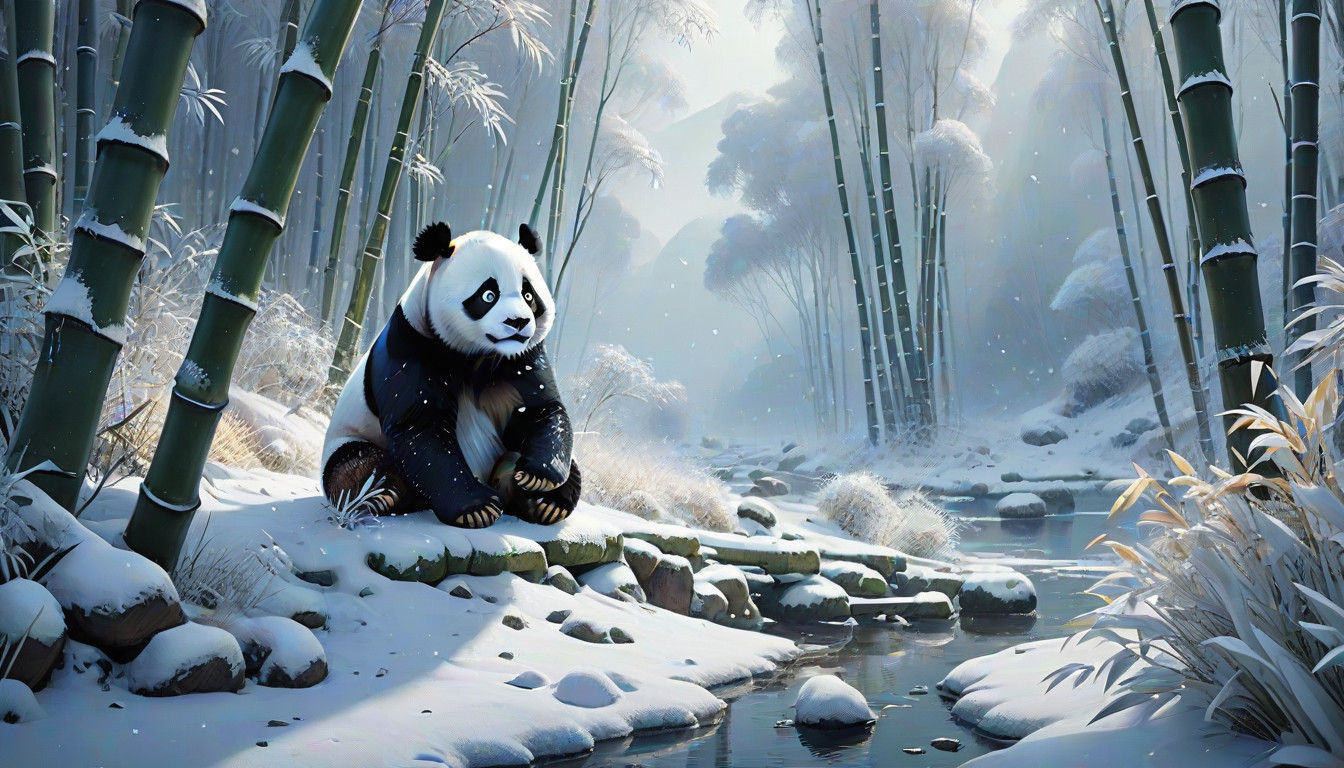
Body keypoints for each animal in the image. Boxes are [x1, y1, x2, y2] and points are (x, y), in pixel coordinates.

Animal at [322, 222, 580, 529]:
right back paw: (379, 496)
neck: (478, 355)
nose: (518, 321)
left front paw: (536, 477)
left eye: (529, 295)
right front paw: (477, 508)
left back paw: (546, 504)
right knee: (355, 464)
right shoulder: (412, 345)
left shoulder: (521, 358)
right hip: (350, 437)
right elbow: (422, 428)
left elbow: (541, 409)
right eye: (488, 295)